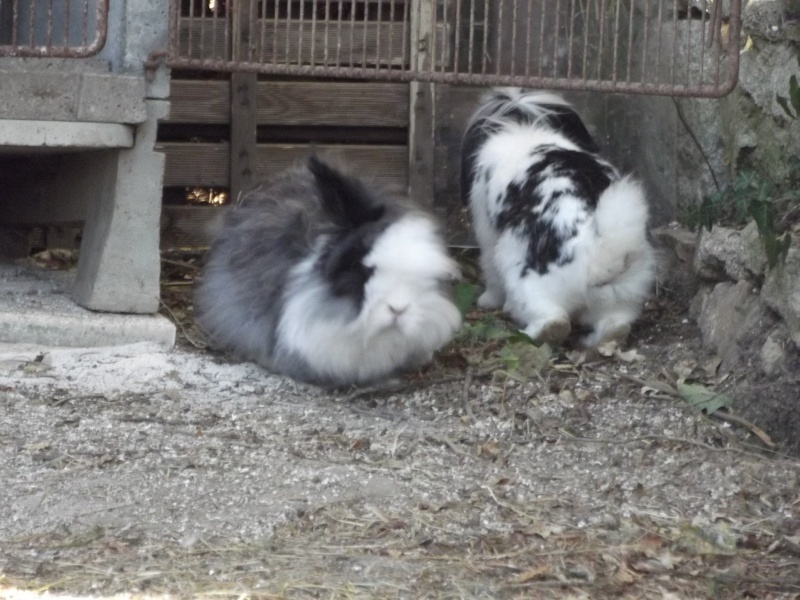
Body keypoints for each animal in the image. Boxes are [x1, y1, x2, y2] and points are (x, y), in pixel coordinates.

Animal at [462, 86, 656, 344]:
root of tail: (596, 260)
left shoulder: (487, 233)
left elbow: (489, 268)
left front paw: (487, 300)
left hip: (523, 276)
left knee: (554, 320)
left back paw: (532, 330)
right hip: (619, 296)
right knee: (614, 325)